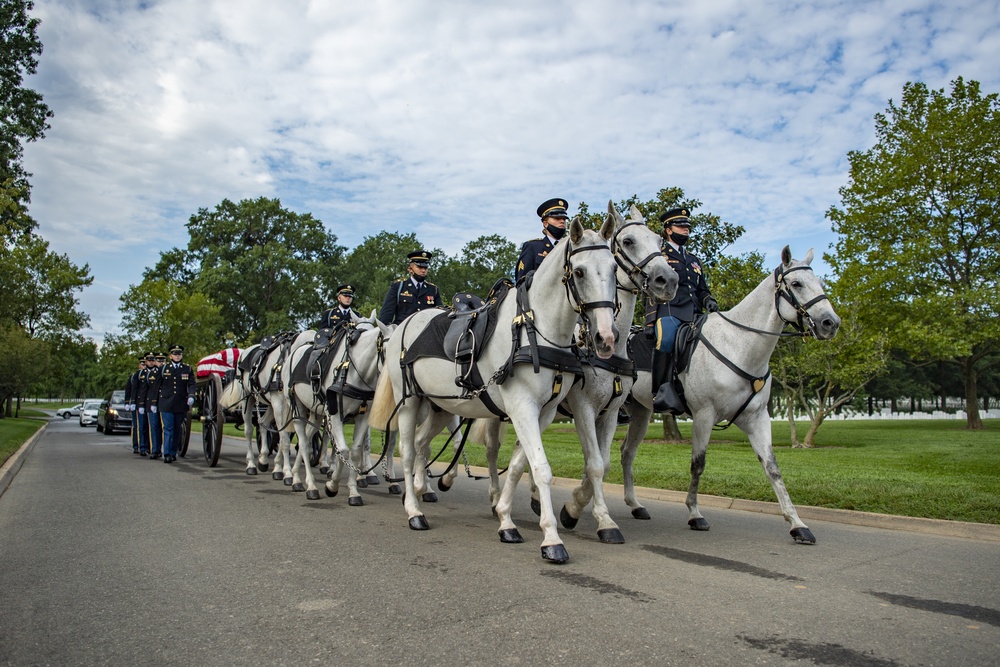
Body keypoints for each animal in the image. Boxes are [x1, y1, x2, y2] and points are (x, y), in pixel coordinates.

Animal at [370, 218, 616, 564]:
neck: (535, 328)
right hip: (409, 402)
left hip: (440, 406)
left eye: (613, 267)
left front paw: (505, 519)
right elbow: (541, 468)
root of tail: (403, 326)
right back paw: (414, 512)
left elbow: (517, 466)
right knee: (406, 451)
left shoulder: (543, 413)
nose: (605, 337)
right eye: (579, 272)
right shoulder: (522, 407)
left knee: (420, 444)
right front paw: (551, 539)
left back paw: (419, 489)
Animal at [620, 245, 840, 544]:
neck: (738, 344)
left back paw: (634, 505)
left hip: (641, 413)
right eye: (796, 284)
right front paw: (695, 514)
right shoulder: (704, 415)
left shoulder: (757, 418)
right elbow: (698, 464)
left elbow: (772, 467)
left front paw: (797, 523)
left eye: (819, 283)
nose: (831, 322)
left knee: (627, 453)